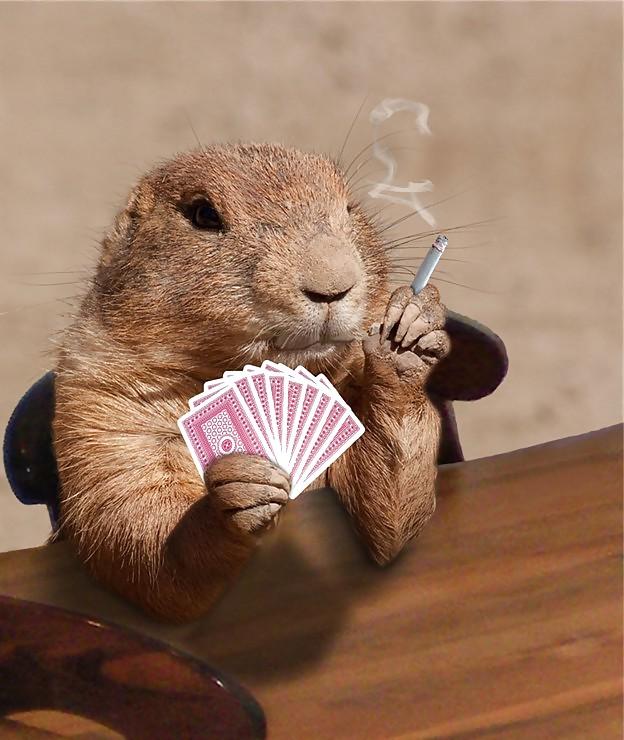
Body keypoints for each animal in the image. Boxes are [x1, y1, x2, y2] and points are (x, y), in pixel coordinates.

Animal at [52, 143, 449, 622]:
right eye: (203, 214)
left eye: (349, 208)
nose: (333, 284)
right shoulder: (98, 406)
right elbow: (129, 514)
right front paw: (243, 490)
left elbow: (381, 519)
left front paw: (409, 329)